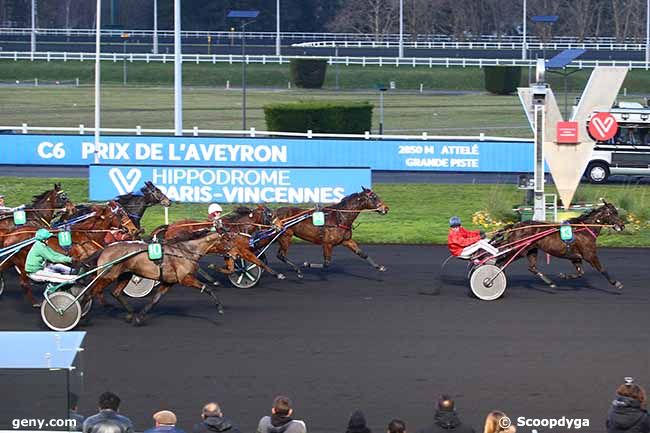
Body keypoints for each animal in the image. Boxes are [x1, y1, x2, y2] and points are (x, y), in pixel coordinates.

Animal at [494, 202, 624, 290]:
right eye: (613, 213)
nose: (622, 226)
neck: (584, 230)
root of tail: (516, 226)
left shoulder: (575, 257)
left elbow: (580, 273)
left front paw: (564, 276)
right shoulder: (589, 255)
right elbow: (602, 269)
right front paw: (615, 283)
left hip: (531, 250)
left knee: (531, 267)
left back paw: (550, 283)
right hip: (519, 250)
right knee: (501, 262)